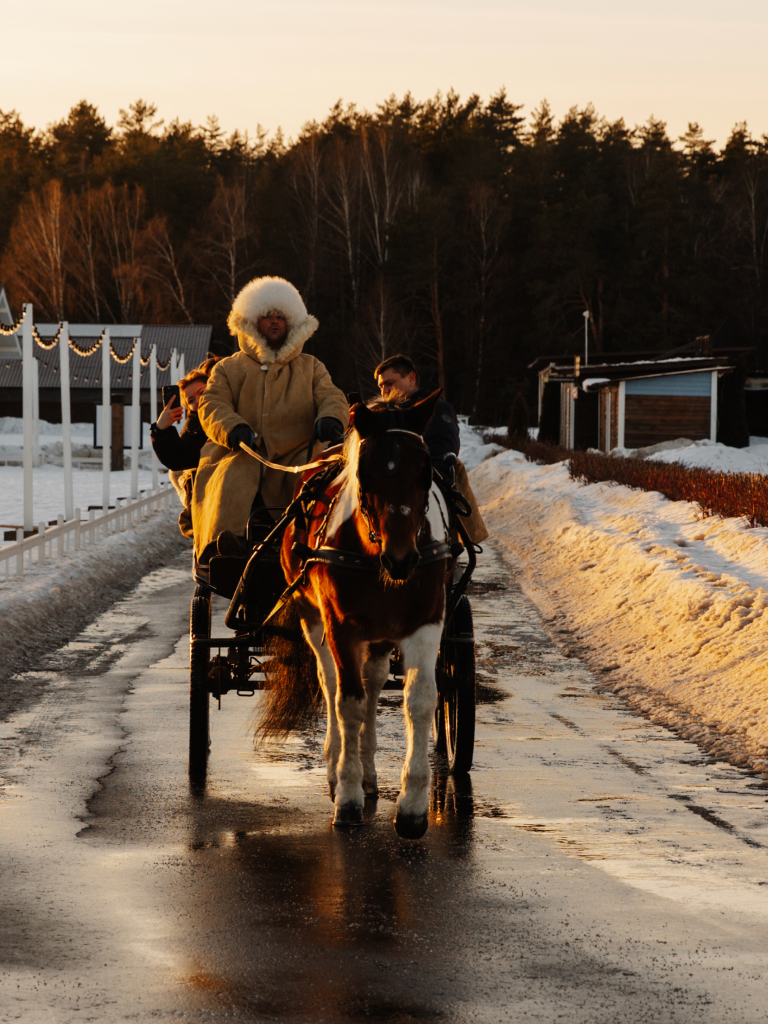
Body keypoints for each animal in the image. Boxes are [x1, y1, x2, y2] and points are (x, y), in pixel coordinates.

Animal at [262, 391, 454, 839]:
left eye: (426, 470)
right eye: (366, 472)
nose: (402, 559)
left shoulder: (426, 622)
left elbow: (420, 699)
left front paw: (413, 805)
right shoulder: (342, 627)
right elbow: (347, 702)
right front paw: (347, 796)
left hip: (381, 635)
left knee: (374, 682)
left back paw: (368, 771)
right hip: (314, 619)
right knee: (331, 683)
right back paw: (340, 768)